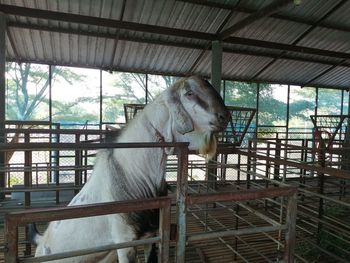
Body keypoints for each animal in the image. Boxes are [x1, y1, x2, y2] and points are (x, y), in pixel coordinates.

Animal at [31, 75, 231, 262]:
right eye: (189, 93)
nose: (225, 117)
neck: (133, 173)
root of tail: (41, 242)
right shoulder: (125, 242)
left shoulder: (151, 235)